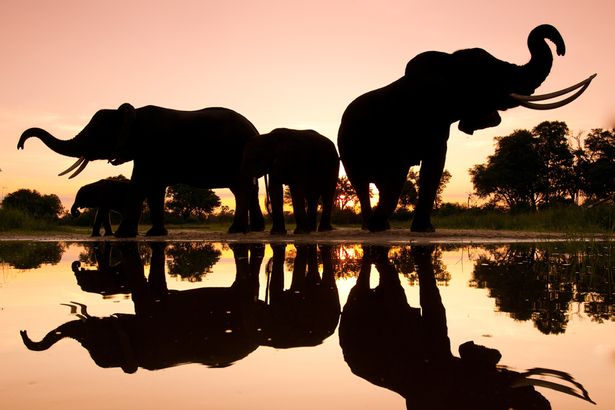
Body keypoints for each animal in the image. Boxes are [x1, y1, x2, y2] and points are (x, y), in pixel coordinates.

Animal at [18, 104, 264, 235]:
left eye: (96, 133)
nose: (20, 146)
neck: (129, 113)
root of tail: (255, 129)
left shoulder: (149, 147)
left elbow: (141, 183)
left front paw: (122, 236)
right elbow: (155, 189)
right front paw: (154, 234)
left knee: (241, 189)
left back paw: (236, 231)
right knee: (246, 189)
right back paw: (252, 230)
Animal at [336, 24, 596, 232]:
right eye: (489, 76)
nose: (561, 50)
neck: (448, 62)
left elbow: (435, 164)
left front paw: (424, 230)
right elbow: (403, 170)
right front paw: (388, 228)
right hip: (346, 148)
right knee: (362, 183)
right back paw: (371, 226)